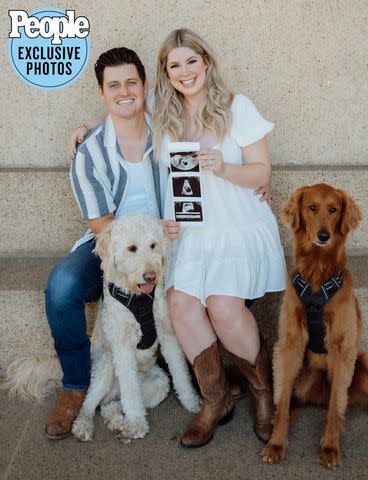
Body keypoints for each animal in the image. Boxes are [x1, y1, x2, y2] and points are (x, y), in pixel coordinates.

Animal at [2, 214, 200, 442]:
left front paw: (191, 401)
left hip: (158, 384)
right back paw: (83, 426)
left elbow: (180, 372)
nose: (151, 276)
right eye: (131, 248)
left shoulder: (167, 334)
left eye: (153, 245)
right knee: (90, 403)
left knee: (110, 406)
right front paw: (137, 423)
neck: (138, 298)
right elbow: (130, 392)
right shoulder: (122, 347)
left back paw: (120, 426)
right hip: (105, 364)